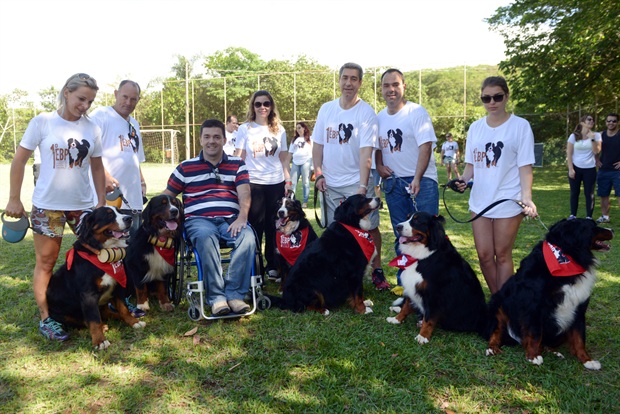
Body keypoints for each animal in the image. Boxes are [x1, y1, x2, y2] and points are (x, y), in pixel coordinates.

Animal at [46, 207, 146, 350]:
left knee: (107, 313)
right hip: (63, 313)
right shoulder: (88, 295)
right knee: (85, 321)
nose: (129, 218)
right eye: (109, 215)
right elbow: (93, 319)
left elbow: (123, 309)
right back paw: (102, 326)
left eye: (120, 211)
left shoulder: (117, 287)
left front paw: (134, 322)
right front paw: (99, 341)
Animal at [386, 212, 486, 344]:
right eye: (407, 217)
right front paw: (397, 319)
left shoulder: (435, 294)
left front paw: (423, 336)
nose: (398, 227)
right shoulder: (412, 286)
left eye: (417, 221)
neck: (424, 255)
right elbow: (406, 306)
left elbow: (429, 318)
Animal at [486, 218, 612, 370]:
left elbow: (579, 337)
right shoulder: (533, 306)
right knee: (496, 330)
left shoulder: (578, 308)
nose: (612, 230)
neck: (568, 257)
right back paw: (492, 348)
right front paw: (533, 356)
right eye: (593, 226)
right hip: (498, 304)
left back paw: (553, 352)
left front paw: (587, 360)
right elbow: (534, 333)